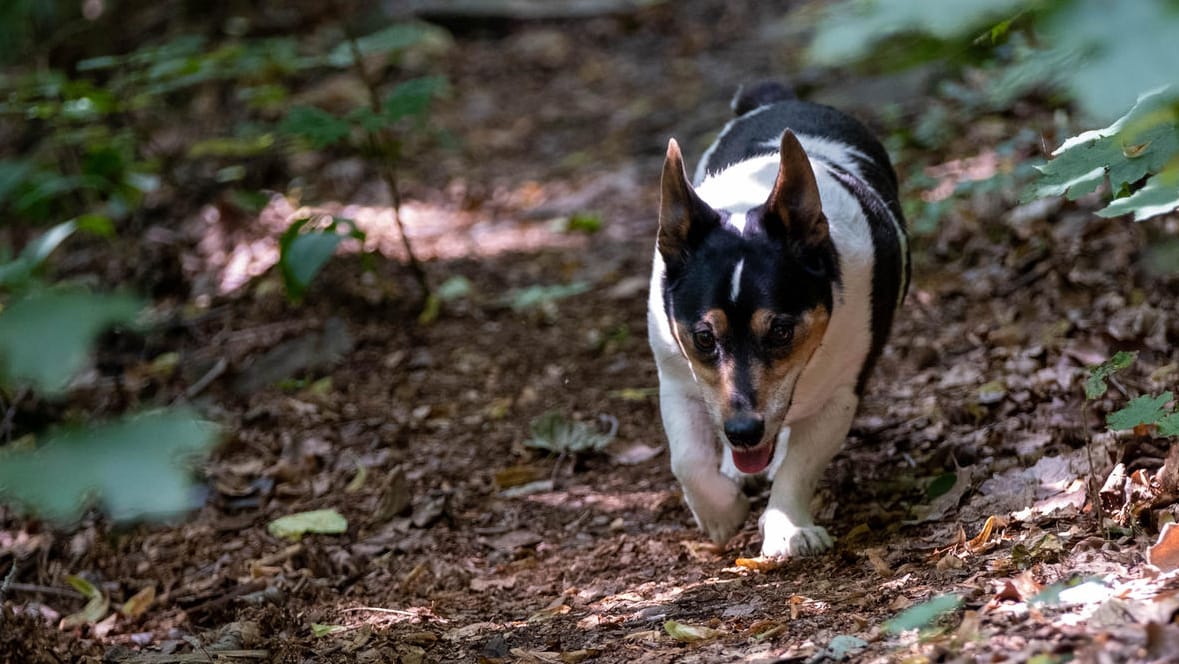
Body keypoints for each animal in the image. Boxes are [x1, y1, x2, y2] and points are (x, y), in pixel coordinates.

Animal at [646, 83, 910, 561]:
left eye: (782, 331)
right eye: (703, 338)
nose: (743, 432)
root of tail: (779, 96)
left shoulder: (840, 397)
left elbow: (799, 466)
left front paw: (789, 528)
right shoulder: (676, 380)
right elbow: (688, 460)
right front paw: (722, 512)